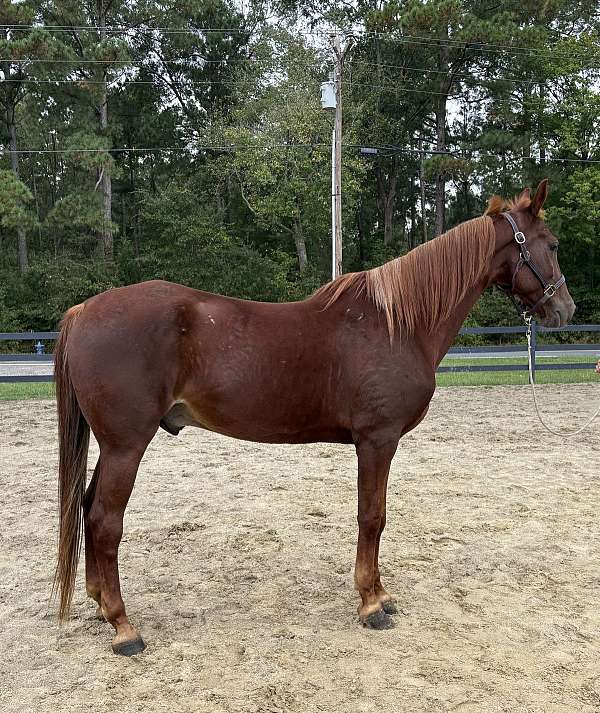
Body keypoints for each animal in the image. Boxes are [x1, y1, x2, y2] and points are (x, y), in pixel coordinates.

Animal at [53, 179, 575, 655]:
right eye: (550, 244)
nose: (564, 309)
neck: (397, 323)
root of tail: (83, 310)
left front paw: (380, 595)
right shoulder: (377, 440)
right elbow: (372, 517)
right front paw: (371, 604)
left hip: (112, 445)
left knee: (87, 506)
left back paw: (100, 605)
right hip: (126, 444)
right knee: (104, 520)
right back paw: (124, 628)